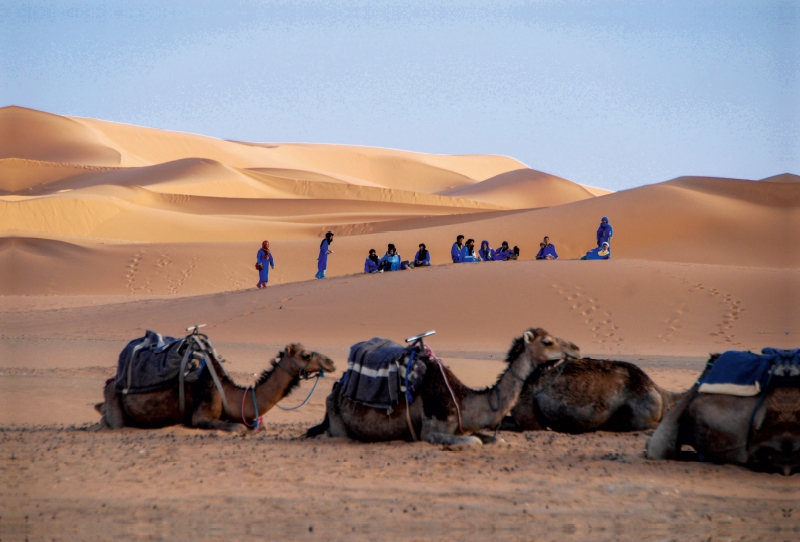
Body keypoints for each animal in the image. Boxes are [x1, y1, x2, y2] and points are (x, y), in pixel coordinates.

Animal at [96, 344, 334, 434]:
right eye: (306, 355)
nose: (331, 362)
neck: (229, 391)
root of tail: (111, 381)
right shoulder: (202, 411)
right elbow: (238, 428)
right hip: (114, 398)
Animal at [306, 330, 580, 448]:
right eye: (547, 341)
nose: (576, 348)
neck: (461, 399)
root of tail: (337, 387)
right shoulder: (430, 431)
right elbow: (473, 442)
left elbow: (496, 438)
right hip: (338, 423)